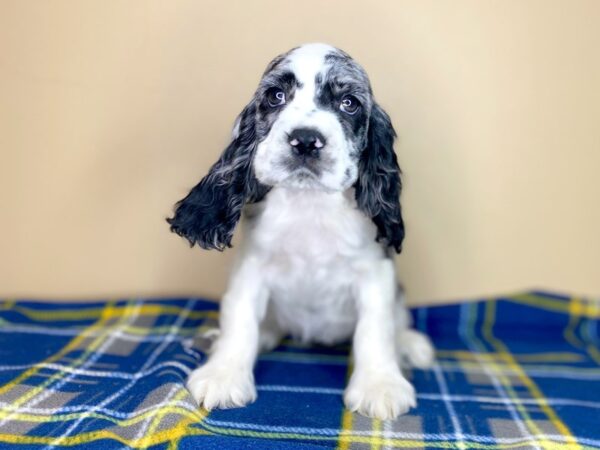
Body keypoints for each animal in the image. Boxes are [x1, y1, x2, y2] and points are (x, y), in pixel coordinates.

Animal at [166, 44, 434, 420]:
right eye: (276, 96)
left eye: (349, 102)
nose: (306, 140)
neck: (310, 203)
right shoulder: (251, 269)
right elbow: (240, 319)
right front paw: (224, 374)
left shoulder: (374, 274)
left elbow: (376, 328)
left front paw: (379, 384)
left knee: (398, 320)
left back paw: (411, 344)